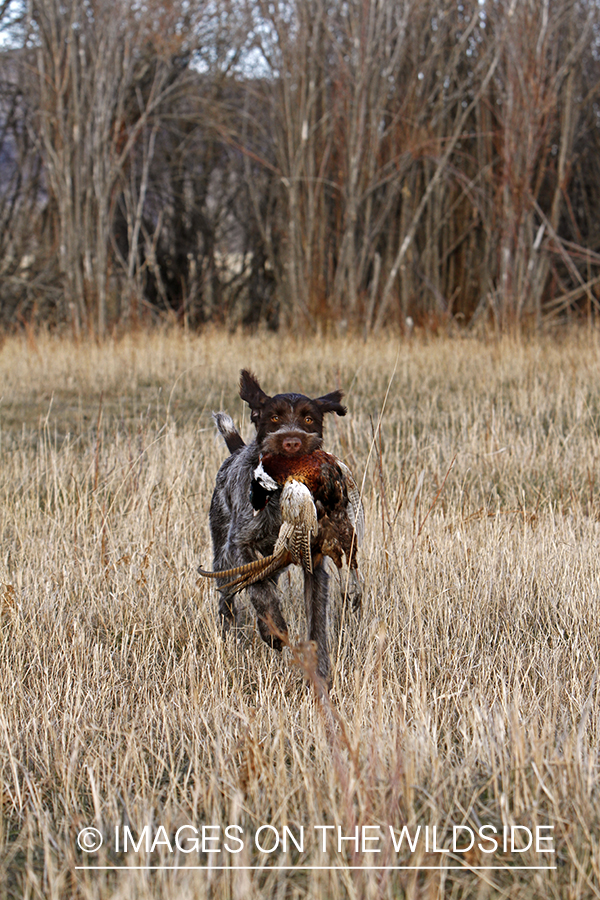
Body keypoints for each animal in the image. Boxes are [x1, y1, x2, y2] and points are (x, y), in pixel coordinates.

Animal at [204, 370, 358, 684]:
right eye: (273, 417)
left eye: (309, 418)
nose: (292, 442)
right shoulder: (240, 545)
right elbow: (260, 591)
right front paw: (272, 629)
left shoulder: (314, 562)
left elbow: (316, 622)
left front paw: (321, 674)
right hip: (223, 557)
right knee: (229, 598)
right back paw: (231, 637)